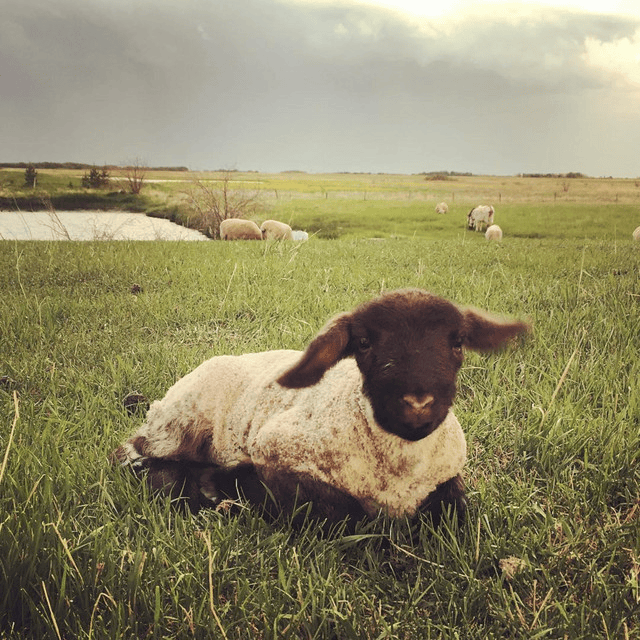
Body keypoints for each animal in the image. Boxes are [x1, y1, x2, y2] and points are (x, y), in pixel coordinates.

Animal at [113, 289, 529, 526]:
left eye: (457, 342)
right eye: (363, 343)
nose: (418, 406)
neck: (399, 475)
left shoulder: (449, 477)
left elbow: (458, 512)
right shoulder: (276, 451)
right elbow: (342, 511)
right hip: (178, 425)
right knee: (135, 455)